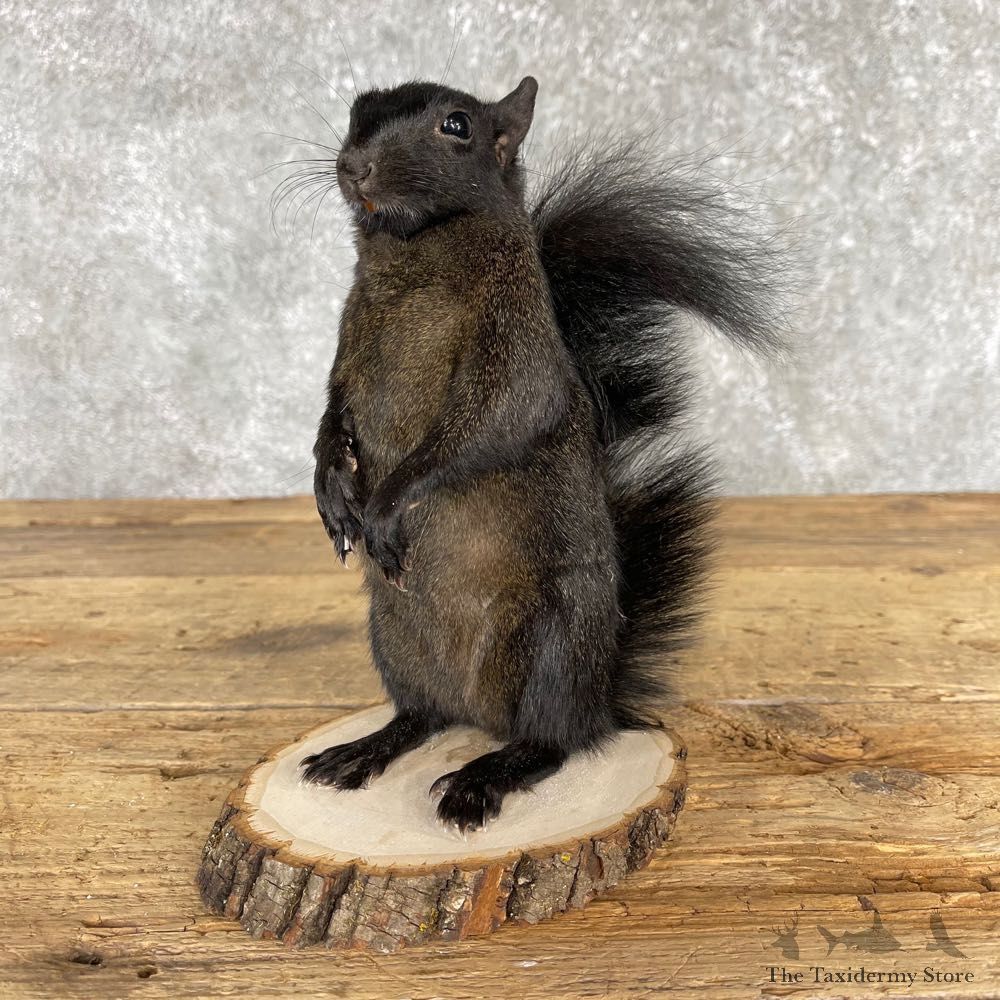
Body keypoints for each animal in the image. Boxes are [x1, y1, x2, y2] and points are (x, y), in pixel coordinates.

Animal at [300, 76, 784, 831]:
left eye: (457, 126)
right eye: (356, 111)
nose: (354, 167)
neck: (412, 256)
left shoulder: (516, 346)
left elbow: (490, 423)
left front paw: (382, 505)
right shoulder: (351, 339)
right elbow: (332, 411)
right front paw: (329, 483)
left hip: (549, 646)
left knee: (553, 743)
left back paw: (482, 778)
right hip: (393, 639)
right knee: (422, 716)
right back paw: (367, 748)